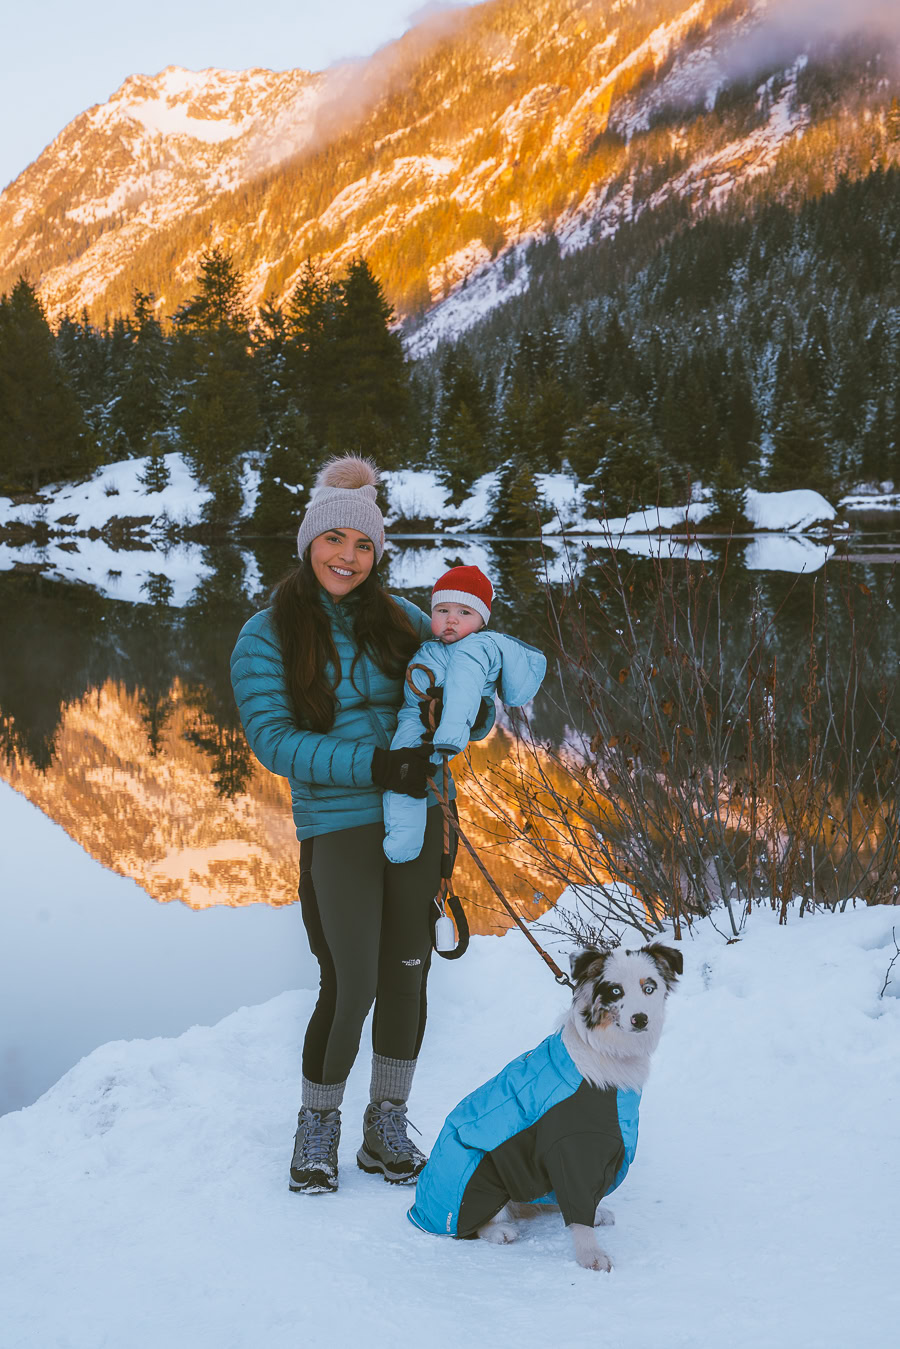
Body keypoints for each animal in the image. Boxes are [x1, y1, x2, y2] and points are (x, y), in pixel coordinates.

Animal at [407, 944, 682, 1268]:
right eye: (615, 990)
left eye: (649, 988)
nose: (641, 1019)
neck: (604, 1052)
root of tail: (420, 1210)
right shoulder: (571, 1147)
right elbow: (578, 1205)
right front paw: (590, 1254)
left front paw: (592, 1218)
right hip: (480, 1171)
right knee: (474, 1223)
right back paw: (498, 1230)